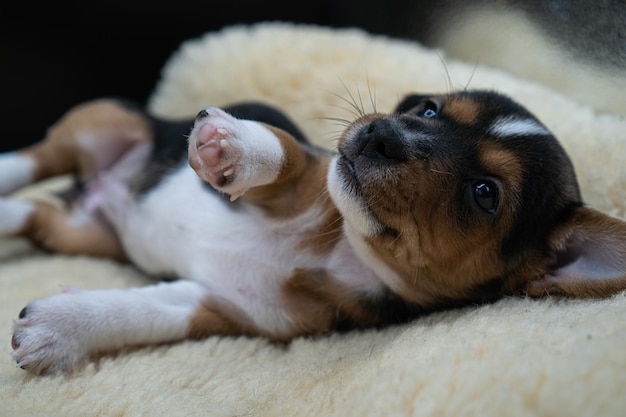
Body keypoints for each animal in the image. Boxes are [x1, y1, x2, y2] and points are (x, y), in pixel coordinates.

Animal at [1, 91, 624, 374]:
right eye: (427, 110)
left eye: (484, 193)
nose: (380, 133)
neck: (342, 252)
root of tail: (94, 188)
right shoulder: (318, 175)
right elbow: (290, 156)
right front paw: (231, 146)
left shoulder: (227, 308)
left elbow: (145, 312)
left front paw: (64, 328)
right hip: (104, 119)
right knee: (31, 160)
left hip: (74, 230)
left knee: (27, 212)